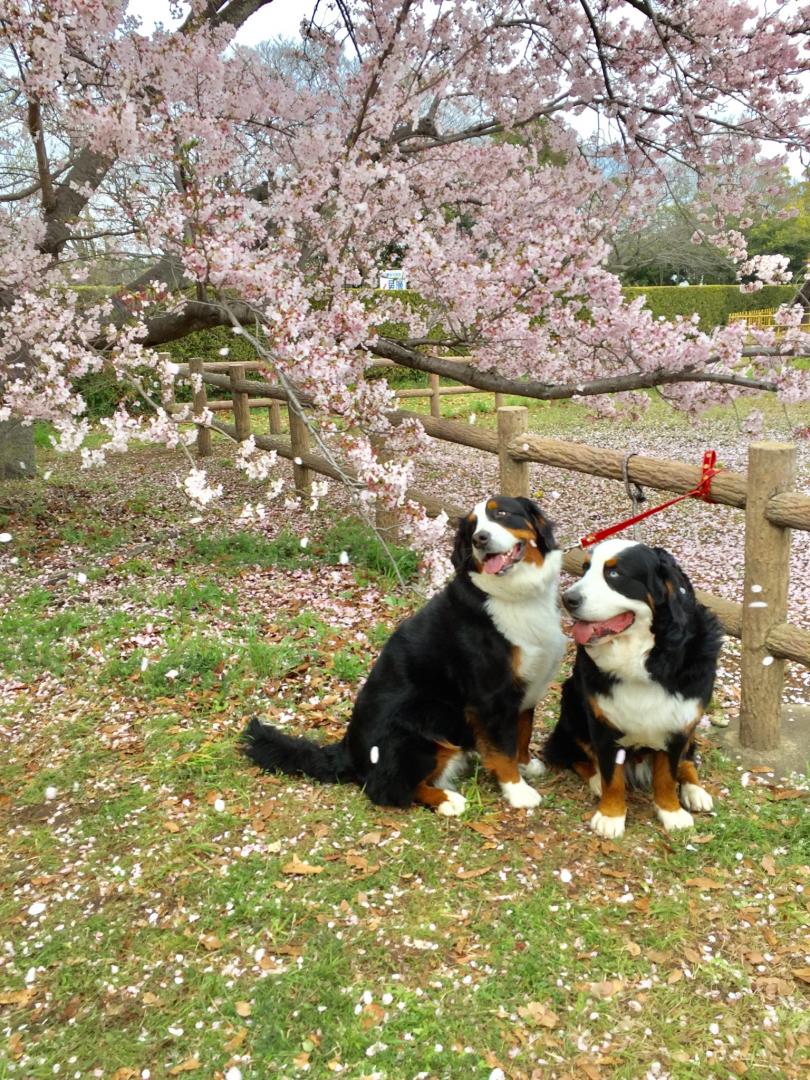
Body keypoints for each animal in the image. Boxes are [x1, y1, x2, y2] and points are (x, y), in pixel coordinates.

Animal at [244, 494, 565, 812]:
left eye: (502, 515)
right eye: (472, 528)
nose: (480, 539)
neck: (513, 595)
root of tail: (348, 750)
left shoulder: (527, 686)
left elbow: (522, 732)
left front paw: (526, 765)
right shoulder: (492, 695)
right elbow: (503, 747)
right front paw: (517, 790)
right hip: (423, 720)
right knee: (387, 788)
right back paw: (448, 800)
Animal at [546, 544, 721, 838]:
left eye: (614, 573)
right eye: (585, 569)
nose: (568, 598)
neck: (643, 657)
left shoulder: (679, 723)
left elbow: (667, 774)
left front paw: (671, 812)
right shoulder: (604, 722)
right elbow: (611, 775)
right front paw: (611, 815)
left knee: (687, 762)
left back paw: (695, 791)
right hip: (571, 706)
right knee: (577, 755)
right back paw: (595, 781)